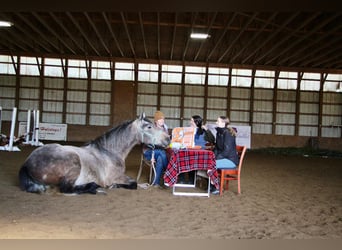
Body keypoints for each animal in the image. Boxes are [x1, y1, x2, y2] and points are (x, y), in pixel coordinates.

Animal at [18, 112, 170, 194]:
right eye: (149, 126)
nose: (167, 138)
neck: (109, 152)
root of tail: (27, 163)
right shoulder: (115, 177)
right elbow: (133, 184)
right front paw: (114, 186)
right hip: (74, 162)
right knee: (67, 189)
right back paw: (94, 187)